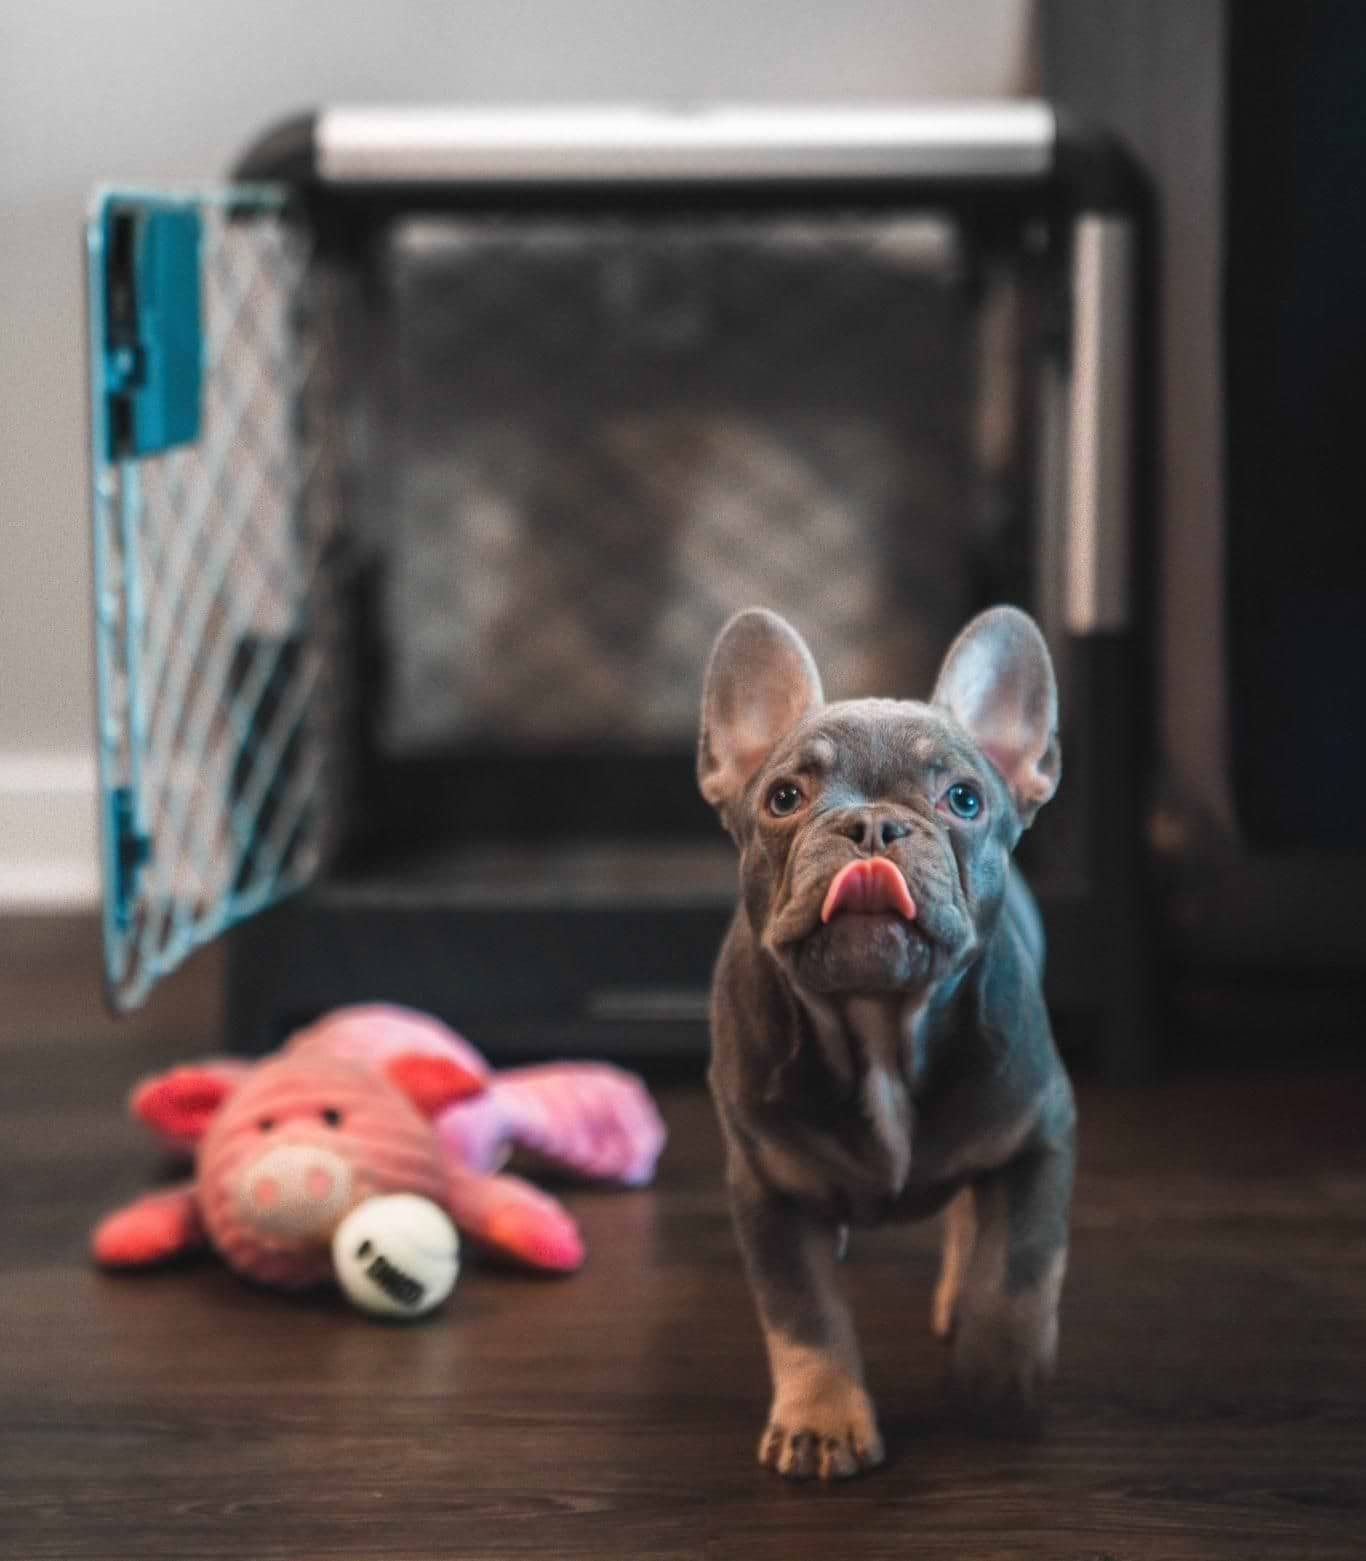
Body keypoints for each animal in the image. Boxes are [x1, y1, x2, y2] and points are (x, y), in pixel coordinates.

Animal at [705, 602, 1080, 1479]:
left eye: (963, 799)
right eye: (784, 796)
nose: (872, 822)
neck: (877, 1018)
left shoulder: (1039, 1134)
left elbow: (1019, 1265)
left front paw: (998, 1380)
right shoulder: (767, 1188)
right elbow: (804, 1313)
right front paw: (822, 1419)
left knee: (976, 1221)